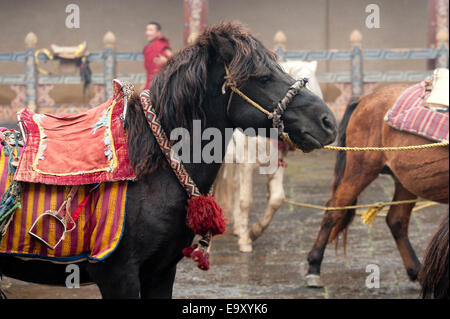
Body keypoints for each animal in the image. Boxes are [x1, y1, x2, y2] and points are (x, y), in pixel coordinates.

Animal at [213, 60, 322, 252]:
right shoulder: (247, 164)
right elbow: (246, 201)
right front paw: (245, 241)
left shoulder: (276, 163)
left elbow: (277, 198)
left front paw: (254, 231)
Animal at [304, 84, 448, 288]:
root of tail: (364, 98)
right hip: (361, 168)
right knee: (334, 210)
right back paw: (314, 268)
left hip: (406, 178)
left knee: (396, 220)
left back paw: (417, 272)